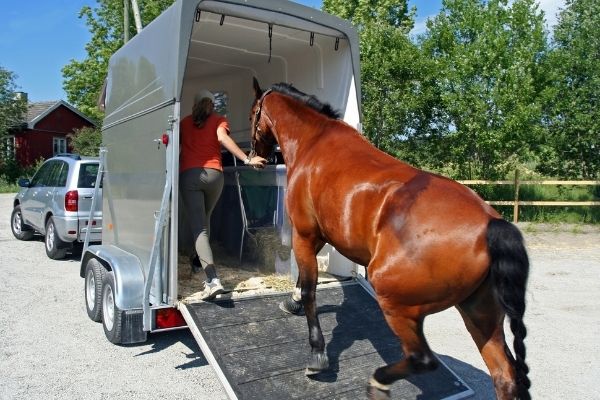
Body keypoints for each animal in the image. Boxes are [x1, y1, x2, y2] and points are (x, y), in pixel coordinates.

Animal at [248, 78, 528, 400]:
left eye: (253, 113)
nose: (255, 157)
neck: (315, 142)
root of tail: (492, 224)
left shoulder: (304, 234)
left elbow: (309, 289)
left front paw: (317, 353)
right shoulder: (318, 235)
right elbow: (303, 285)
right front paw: (291, 303)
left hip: (397, 305)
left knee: (423, 359)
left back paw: (378, 382)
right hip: (480, 316)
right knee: (504, 376)